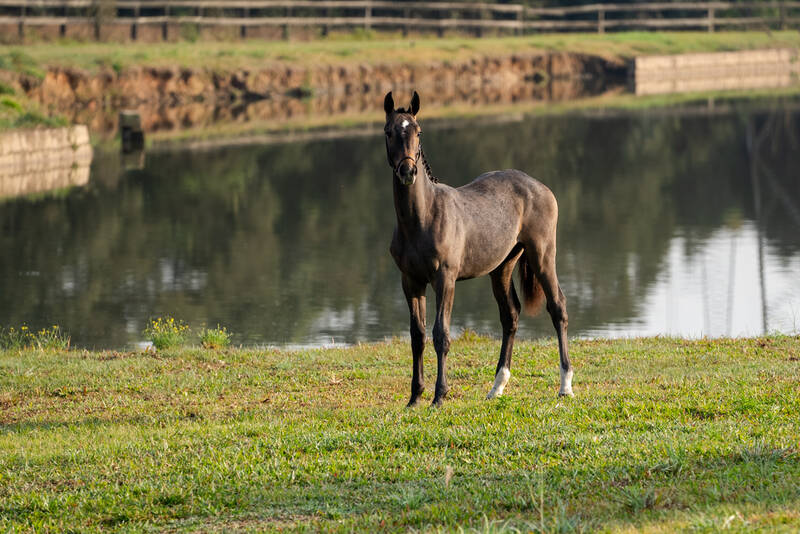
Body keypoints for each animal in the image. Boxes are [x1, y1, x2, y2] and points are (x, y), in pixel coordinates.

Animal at [384, 92, 572, 408]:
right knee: (510, 315)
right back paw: (497, 387)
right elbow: (417, 335)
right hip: (503, 266)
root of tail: (539, 186)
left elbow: (441, 334)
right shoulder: (410, 281)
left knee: (557, 306)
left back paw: (565, 385)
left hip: (542, 254)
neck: (422, 218)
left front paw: (439, 396)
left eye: (418, 132)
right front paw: (414, 398)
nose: (407, 171)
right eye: (388, 132)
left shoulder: (445, 279)